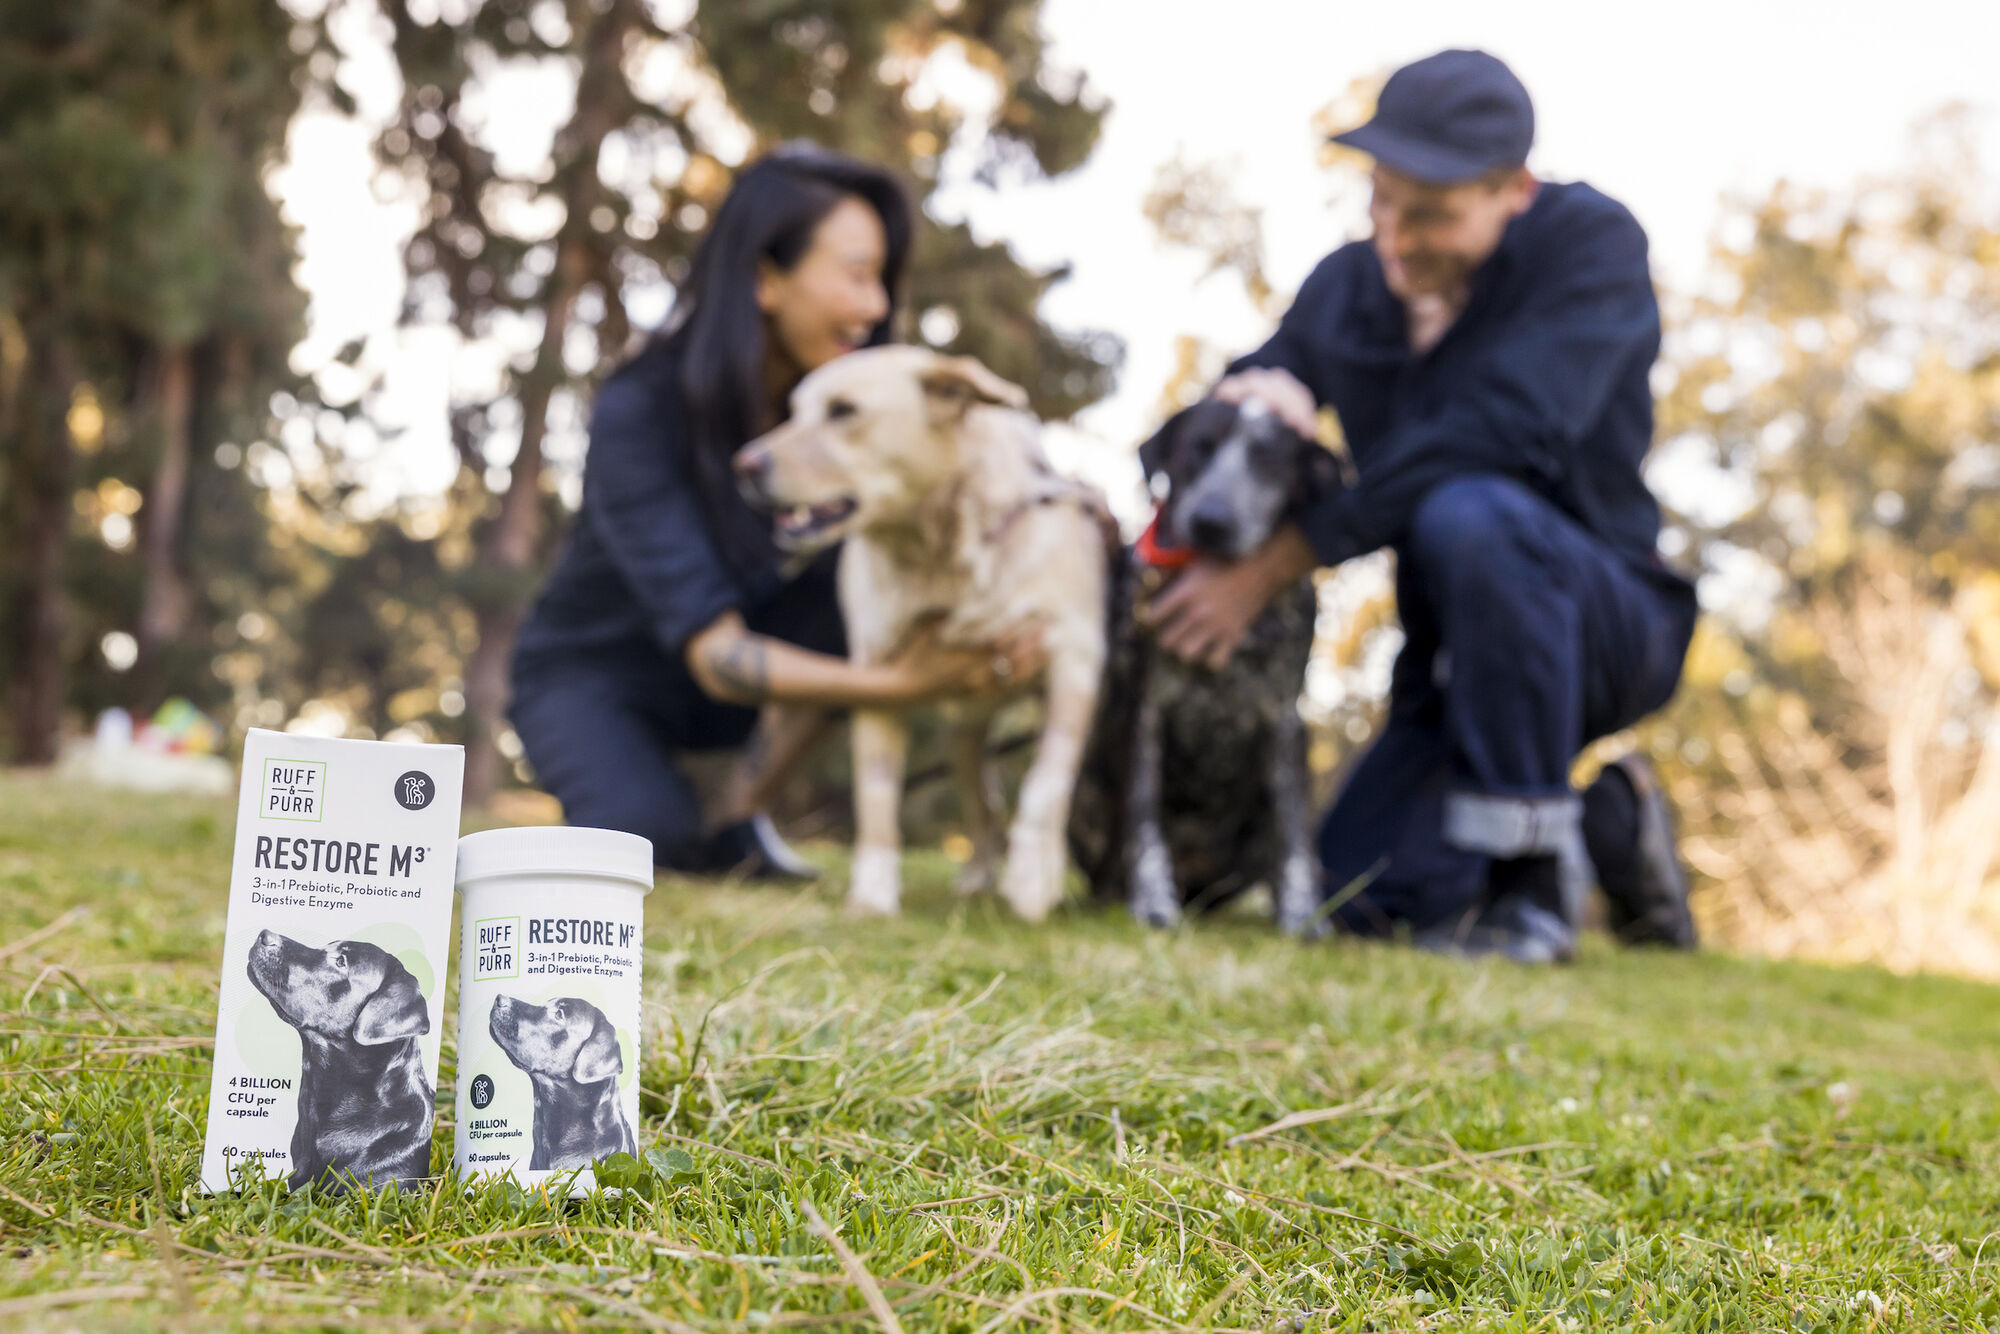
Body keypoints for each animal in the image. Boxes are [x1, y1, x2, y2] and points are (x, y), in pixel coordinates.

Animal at [736, 348, 1112, 920]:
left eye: (843, 410)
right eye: (794, 410)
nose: (745, 464)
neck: (937, 552)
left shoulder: (1074, 664)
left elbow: (1046, 785)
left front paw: (1031, 881)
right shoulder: (877, 674)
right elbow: (875, 798)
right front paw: (872, 896)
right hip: (964, 736)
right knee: (983, 807)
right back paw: (977, 875)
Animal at [1064, 402, 1344, 936]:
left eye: (1268, 460)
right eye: (1199, 448)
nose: (1212, 520)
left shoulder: (1285, 720)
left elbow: (1294, 836)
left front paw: (1302, 914)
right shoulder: (1144, 711)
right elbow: (1143, 819)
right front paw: (1151, 903)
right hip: (1084, 793)